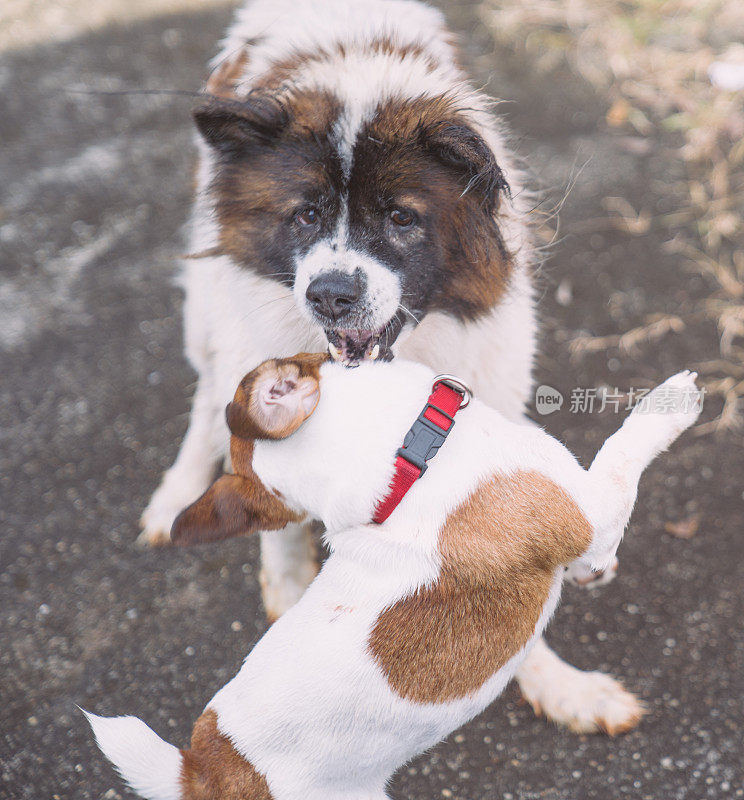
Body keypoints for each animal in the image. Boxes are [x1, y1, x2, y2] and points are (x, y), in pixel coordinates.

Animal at [90, 356, 700, 800]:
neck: (407, 465)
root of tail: (205, 771)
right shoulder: (595, 511)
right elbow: (624, 448)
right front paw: (671, 402)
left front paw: (590, 576)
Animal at [142, 0, 644, 732]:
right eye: (306, 215)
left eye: (402, 219)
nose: (329, 295)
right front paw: (286, 585)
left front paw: (562, 685)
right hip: (211, 310)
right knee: (207, 395)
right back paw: (177, 490)